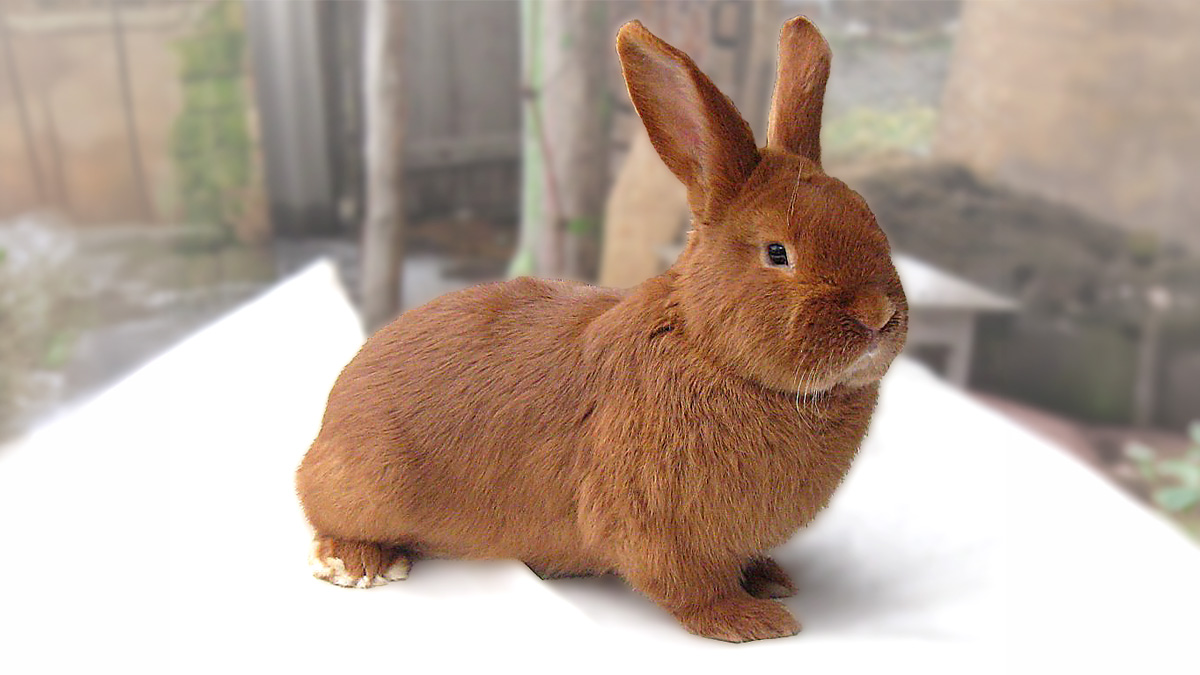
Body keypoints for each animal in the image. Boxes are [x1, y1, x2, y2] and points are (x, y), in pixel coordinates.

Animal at [296, 16, 907, 643]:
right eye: (777, 252)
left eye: (869, 220)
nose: (878, 315)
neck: (708, 348)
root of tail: (328, 421)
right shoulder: (653, 522)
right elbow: (689, 586)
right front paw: (752, 621)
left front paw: (769, 579)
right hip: (370, 482)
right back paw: (359, 563)